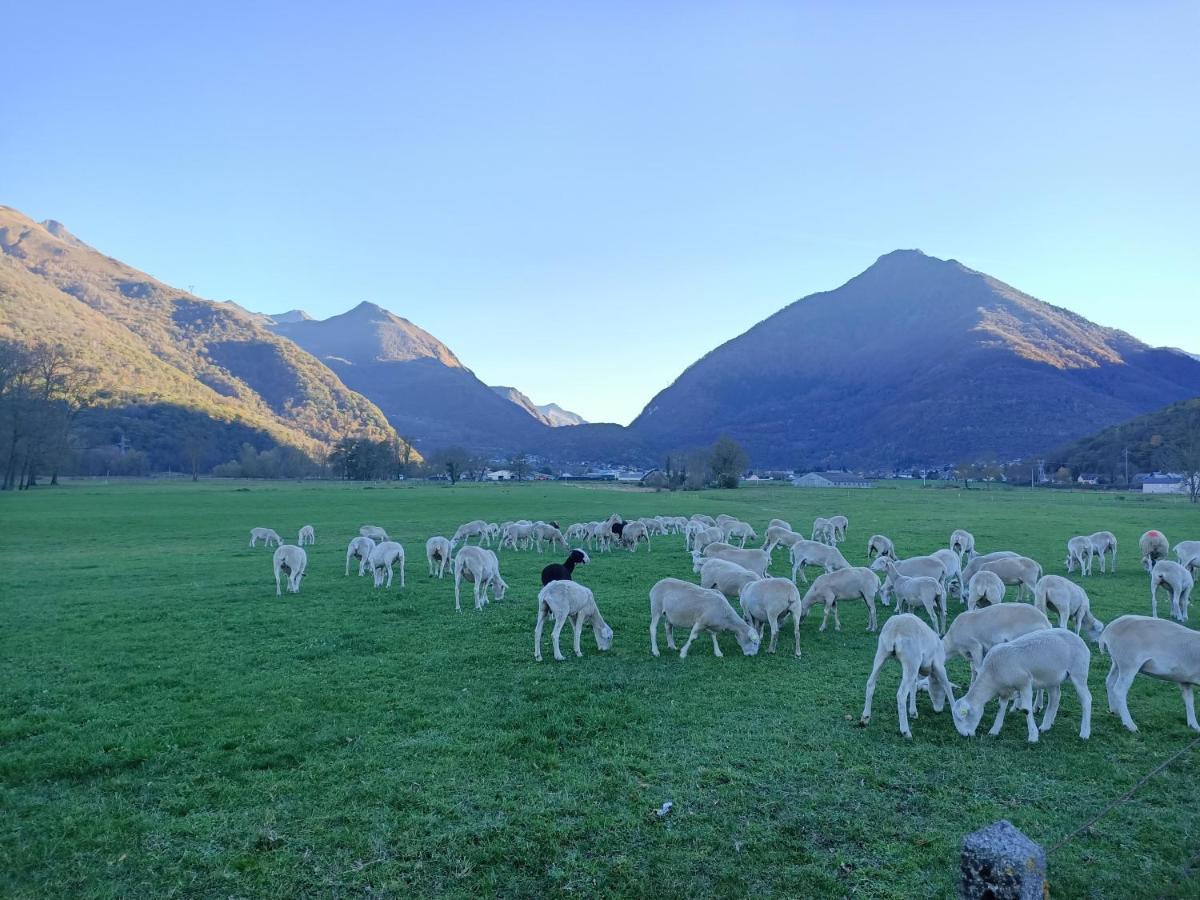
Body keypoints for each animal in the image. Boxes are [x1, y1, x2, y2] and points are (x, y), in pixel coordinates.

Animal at [950, 628, 1094, 748]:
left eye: (963, 717)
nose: (965, 736)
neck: (992, 675)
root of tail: (1078, 638)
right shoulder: (1005, 691)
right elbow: (1001, 707)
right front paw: (994, 730)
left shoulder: (1025, 683)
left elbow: (1026, 710)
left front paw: (1033, 737)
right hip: (1052, 677)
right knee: (1055, 696)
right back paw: (1045, 726)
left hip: (1079, 672)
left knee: (1086, 699)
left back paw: (1084, 733)